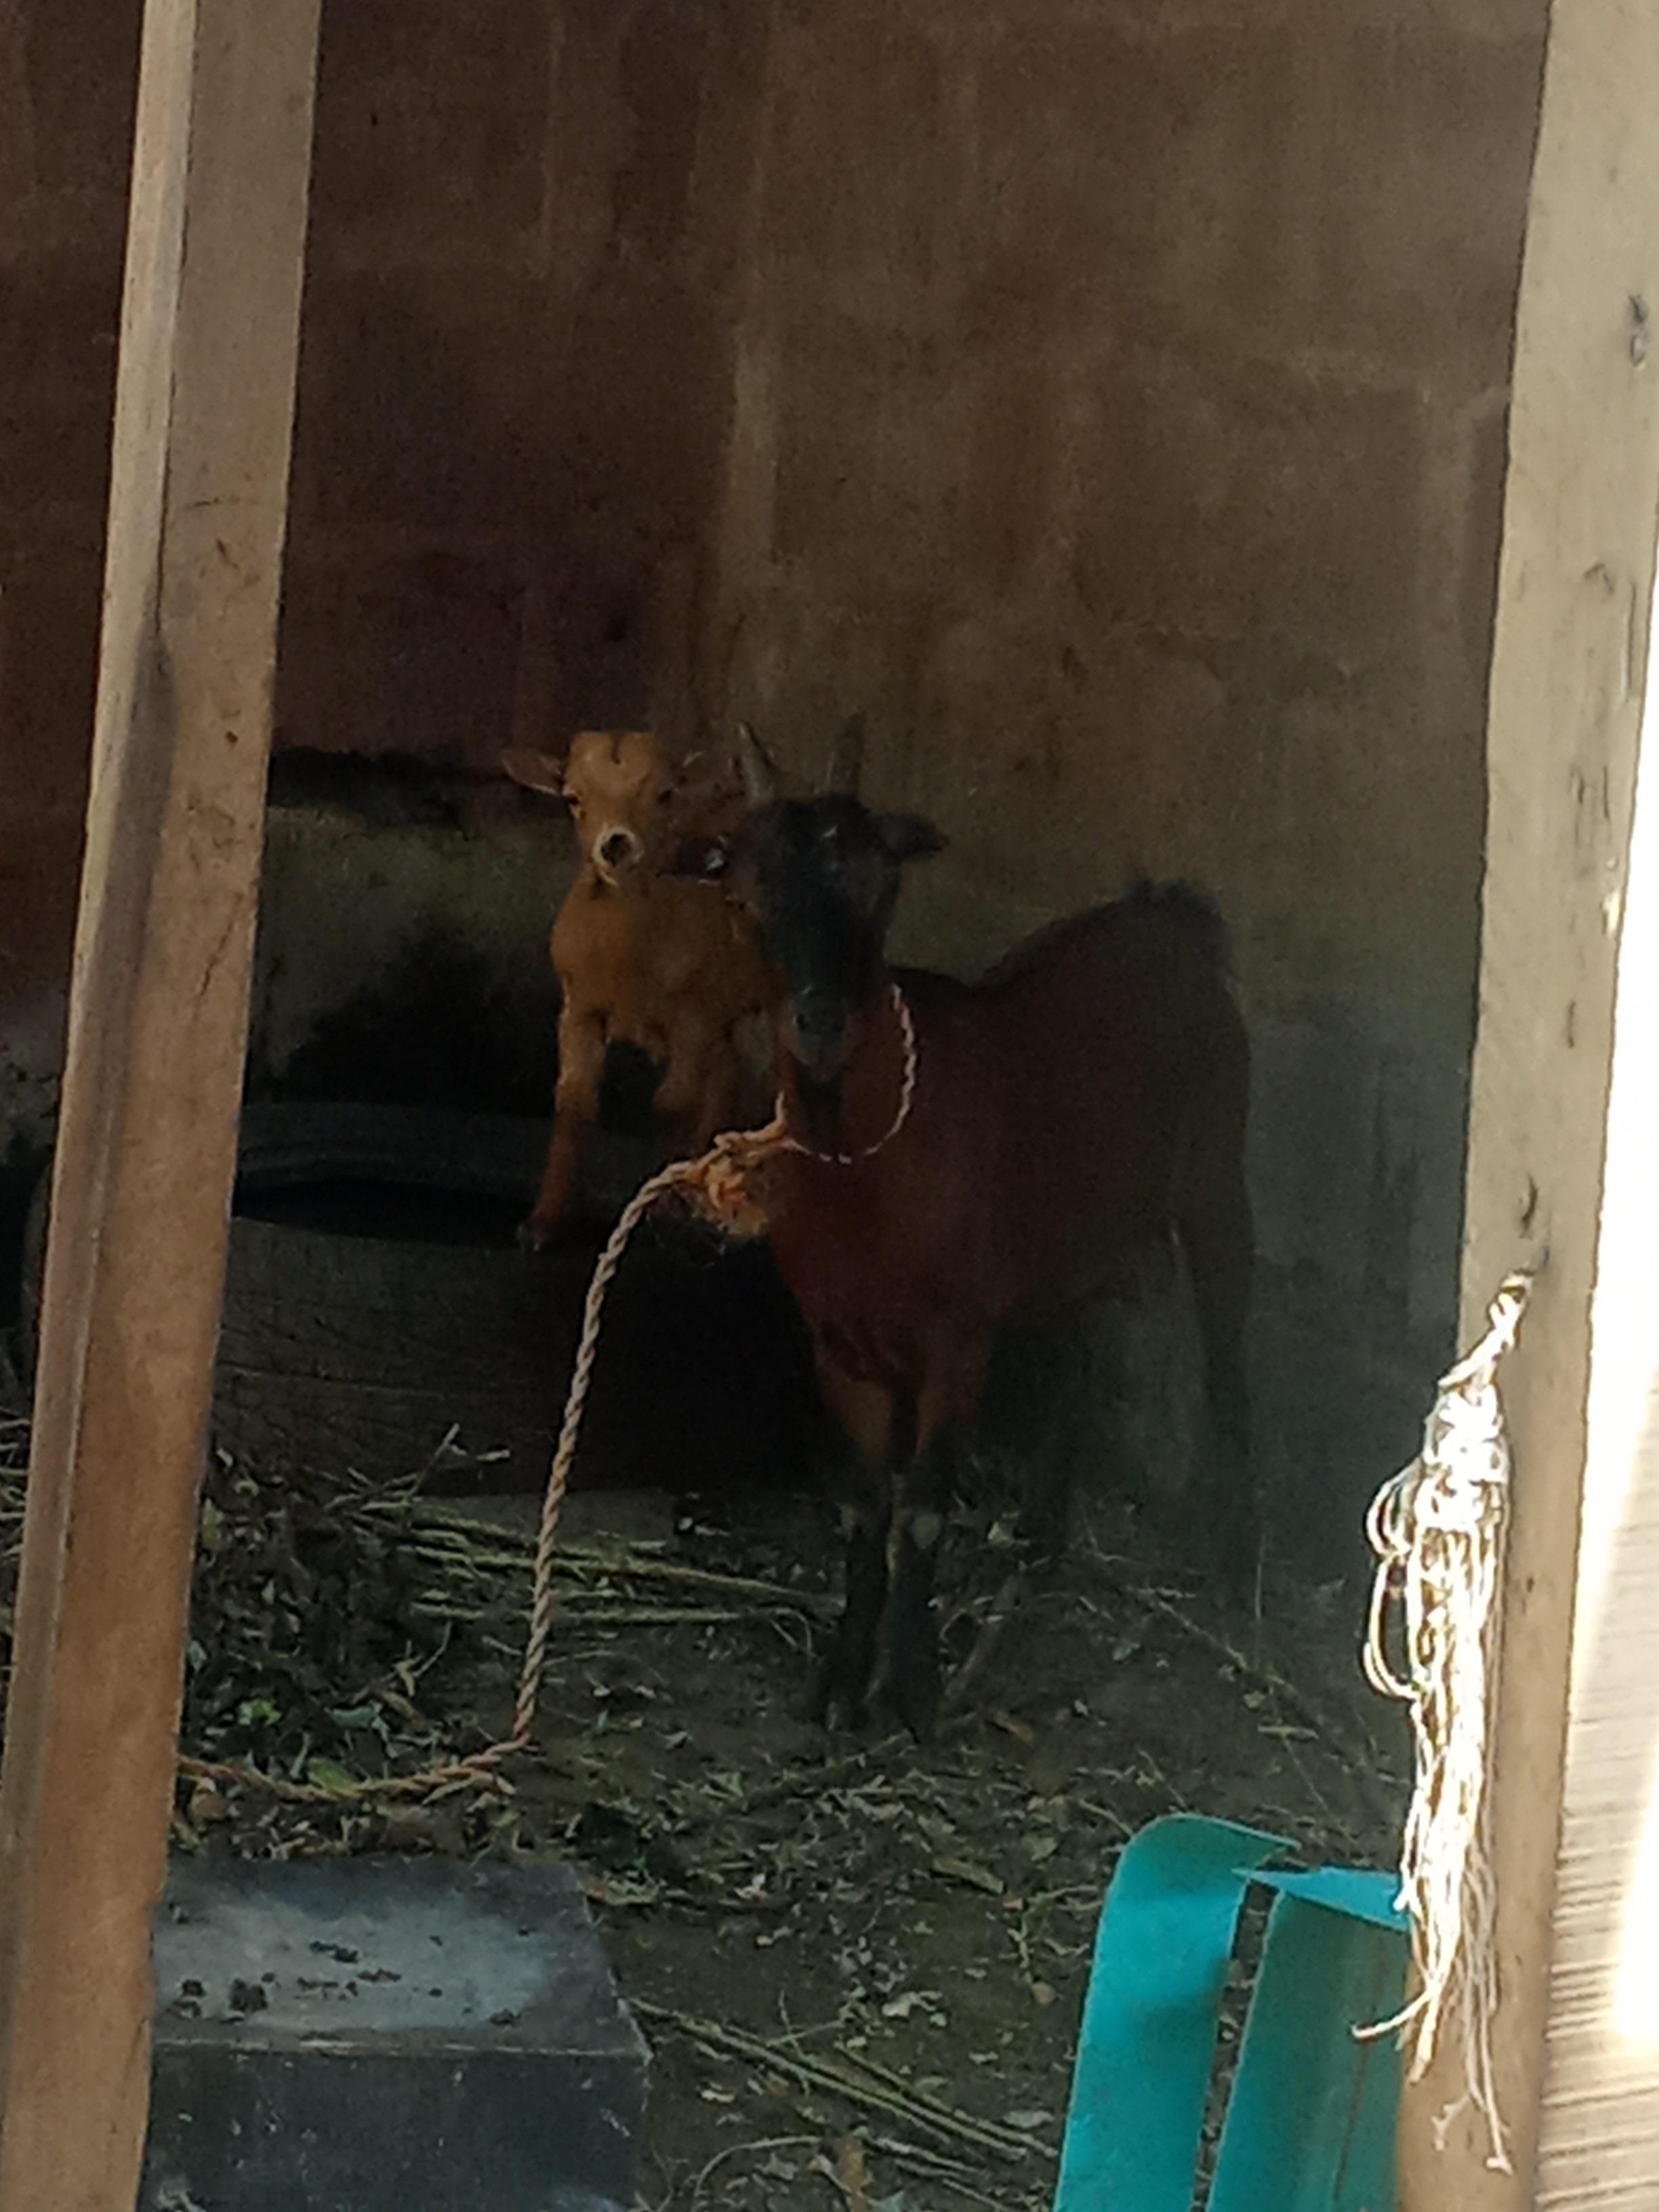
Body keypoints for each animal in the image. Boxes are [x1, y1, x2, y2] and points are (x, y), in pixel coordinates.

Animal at [504, 729, 775, 1247]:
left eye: (665, 795)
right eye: (573, 797)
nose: (616, 845)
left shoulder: (693, 1019)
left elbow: (671, 1105)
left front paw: (664, 1212)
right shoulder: (579, 1009)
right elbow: (574, 1101)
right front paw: (545, 1220)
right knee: (726, 1082)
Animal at [676, 721, 1255, 1739]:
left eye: (880, 886)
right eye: (742, 897)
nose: (820, 1025)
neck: (868, 1174)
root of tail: (1167, 919)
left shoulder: (955, 1340)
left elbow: (922, 1510)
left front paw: (910, 1686)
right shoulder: (840, 1343)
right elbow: (867, 1509)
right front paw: (843, 1678)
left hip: (1219, 1168)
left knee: (1231, 1348)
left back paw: (1234, 1565)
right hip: (1056, 1237)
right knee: (1079, 1352)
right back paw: (1038, 1533)